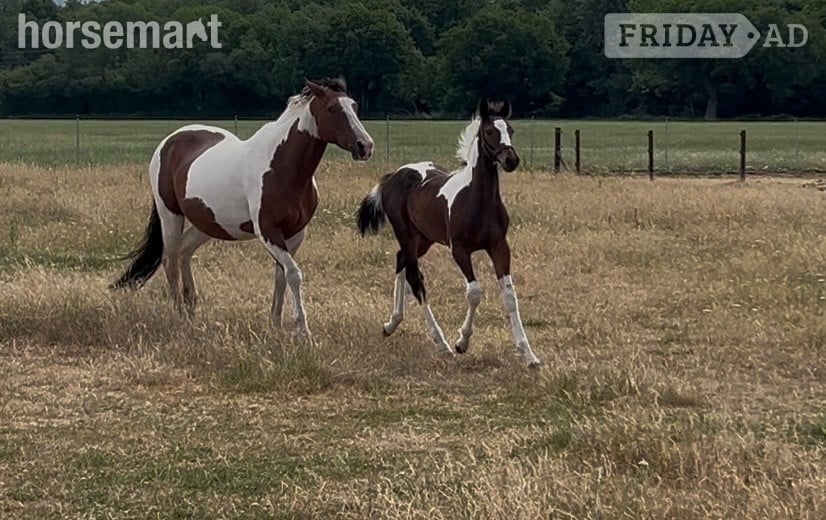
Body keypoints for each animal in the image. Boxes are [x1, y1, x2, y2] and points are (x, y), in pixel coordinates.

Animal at [112, 78, 374, 340]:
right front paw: (303, 330)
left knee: (184, 252)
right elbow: (293, 274)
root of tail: (170, 141)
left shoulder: (295, 233)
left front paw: (275, 325)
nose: (365, 146)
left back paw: (192, 309)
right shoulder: (268, 231)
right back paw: (180, 317)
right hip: (170, 215)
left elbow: (281, 276)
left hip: (207, 223)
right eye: (332, 108)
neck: (281, 167)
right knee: (171, 260)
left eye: (355, 106)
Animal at [356, 99, 542, 367]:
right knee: (415, 279)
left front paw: (529, 355)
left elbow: (509, 297)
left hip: (423, 239)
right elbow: (474, 293)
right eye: (489, 131)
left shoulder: (499, 247)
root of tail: (393, 176)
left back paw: (391, 324)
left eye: (511, 130)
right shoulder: (460, 249)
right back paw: (440, 342)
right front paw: (461, 342)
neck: (478, 200)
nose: (511, 160)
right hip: (406, 234)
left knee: (401, 260)